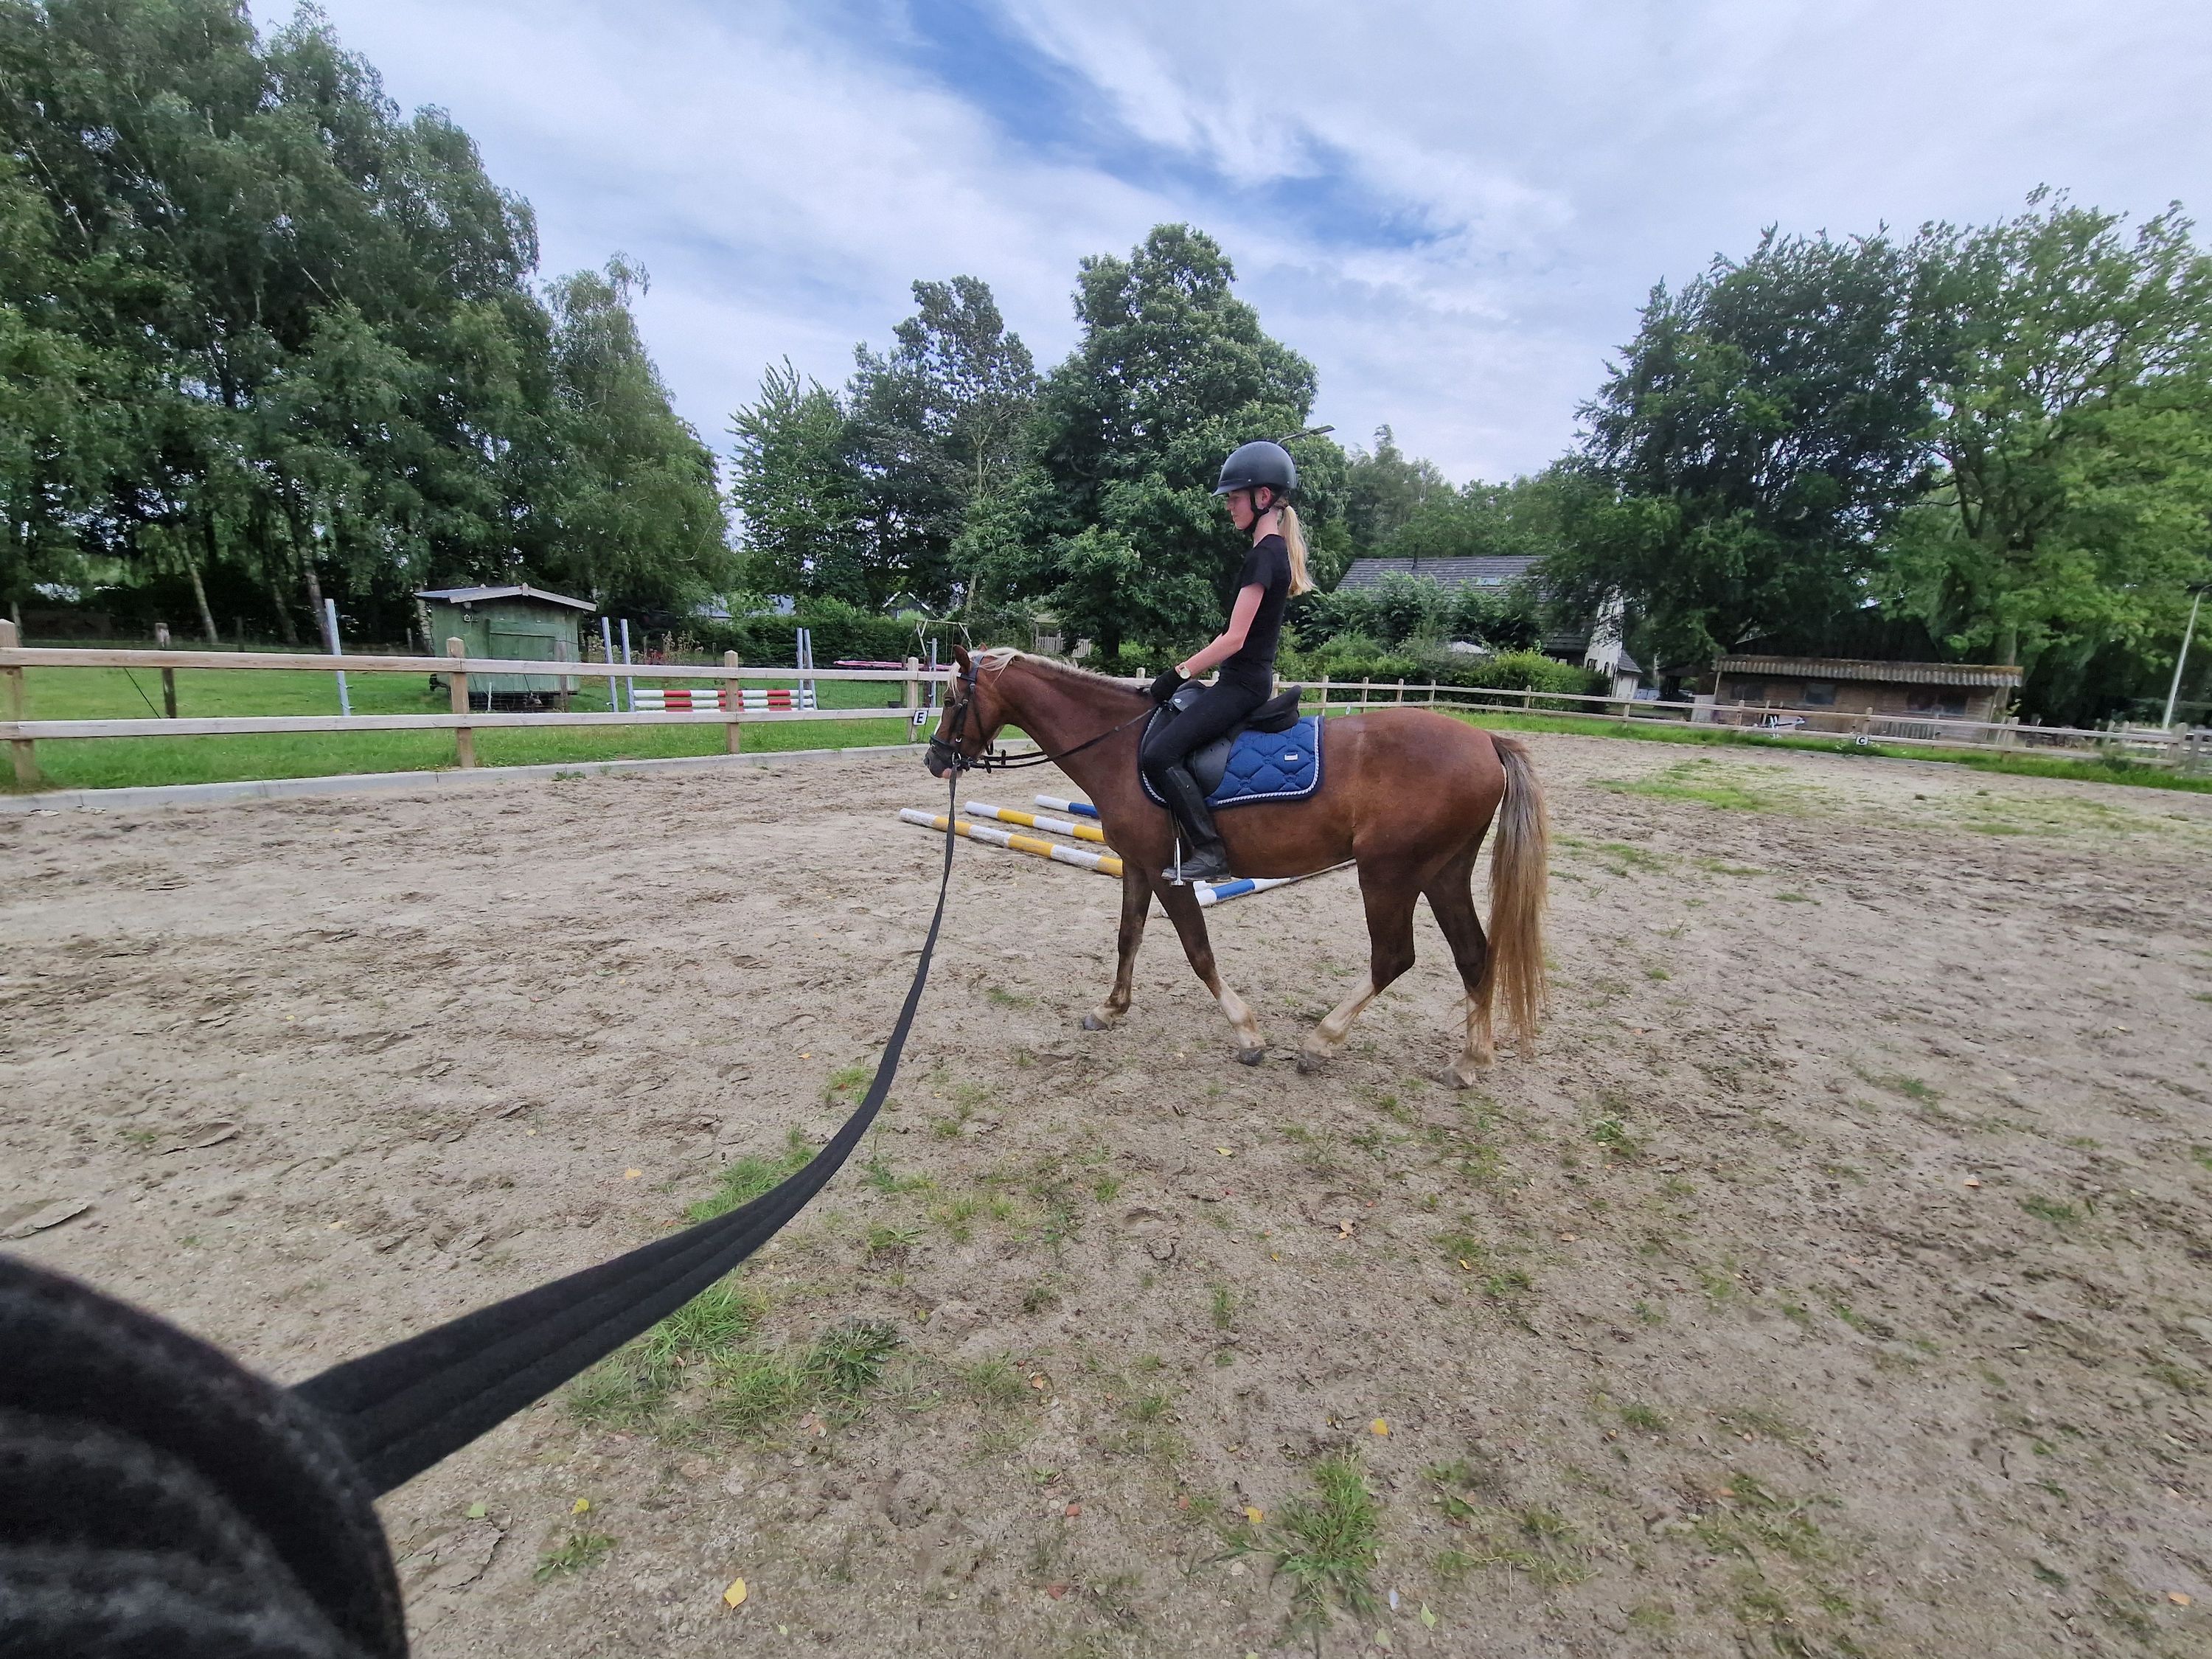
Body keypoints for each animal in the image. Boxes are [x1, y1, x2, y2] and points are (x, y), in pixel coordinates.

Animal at [925, 646, 1549, 1084]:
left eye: (954, 701)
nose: (936, 760)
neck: (1122, 746)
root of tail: (1486, 742)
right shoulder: (1137, 866)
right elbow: (1128, 937)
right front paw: (1110, 1009)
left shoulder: (1171, 874)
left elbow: (1198, 952)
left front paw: (1248, 1036)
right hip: (1443, 873)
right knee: (1473, 954)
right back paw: (1470, 1062)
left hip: (1388, 874)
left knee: (1394, 957)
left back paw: (1320, 1043)